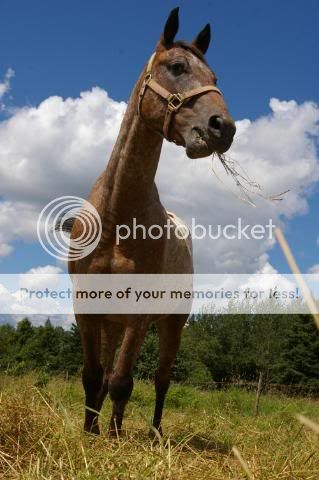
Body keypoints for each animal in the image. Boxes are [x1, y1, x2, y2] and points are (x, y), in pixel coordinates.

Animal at [69, 6, 236, 436]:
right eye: (177, 67)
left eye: (215, 79)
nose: (223, 128)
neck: (117, 215)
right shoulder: (87, 307)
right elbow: (93, 376)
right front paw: (90, 432)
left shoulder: (140, 313)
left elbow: (122, 381)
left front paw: (114, 437)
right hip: (113, 322)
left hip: (170, 324)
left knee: (160, 380)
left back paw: (154, 431)